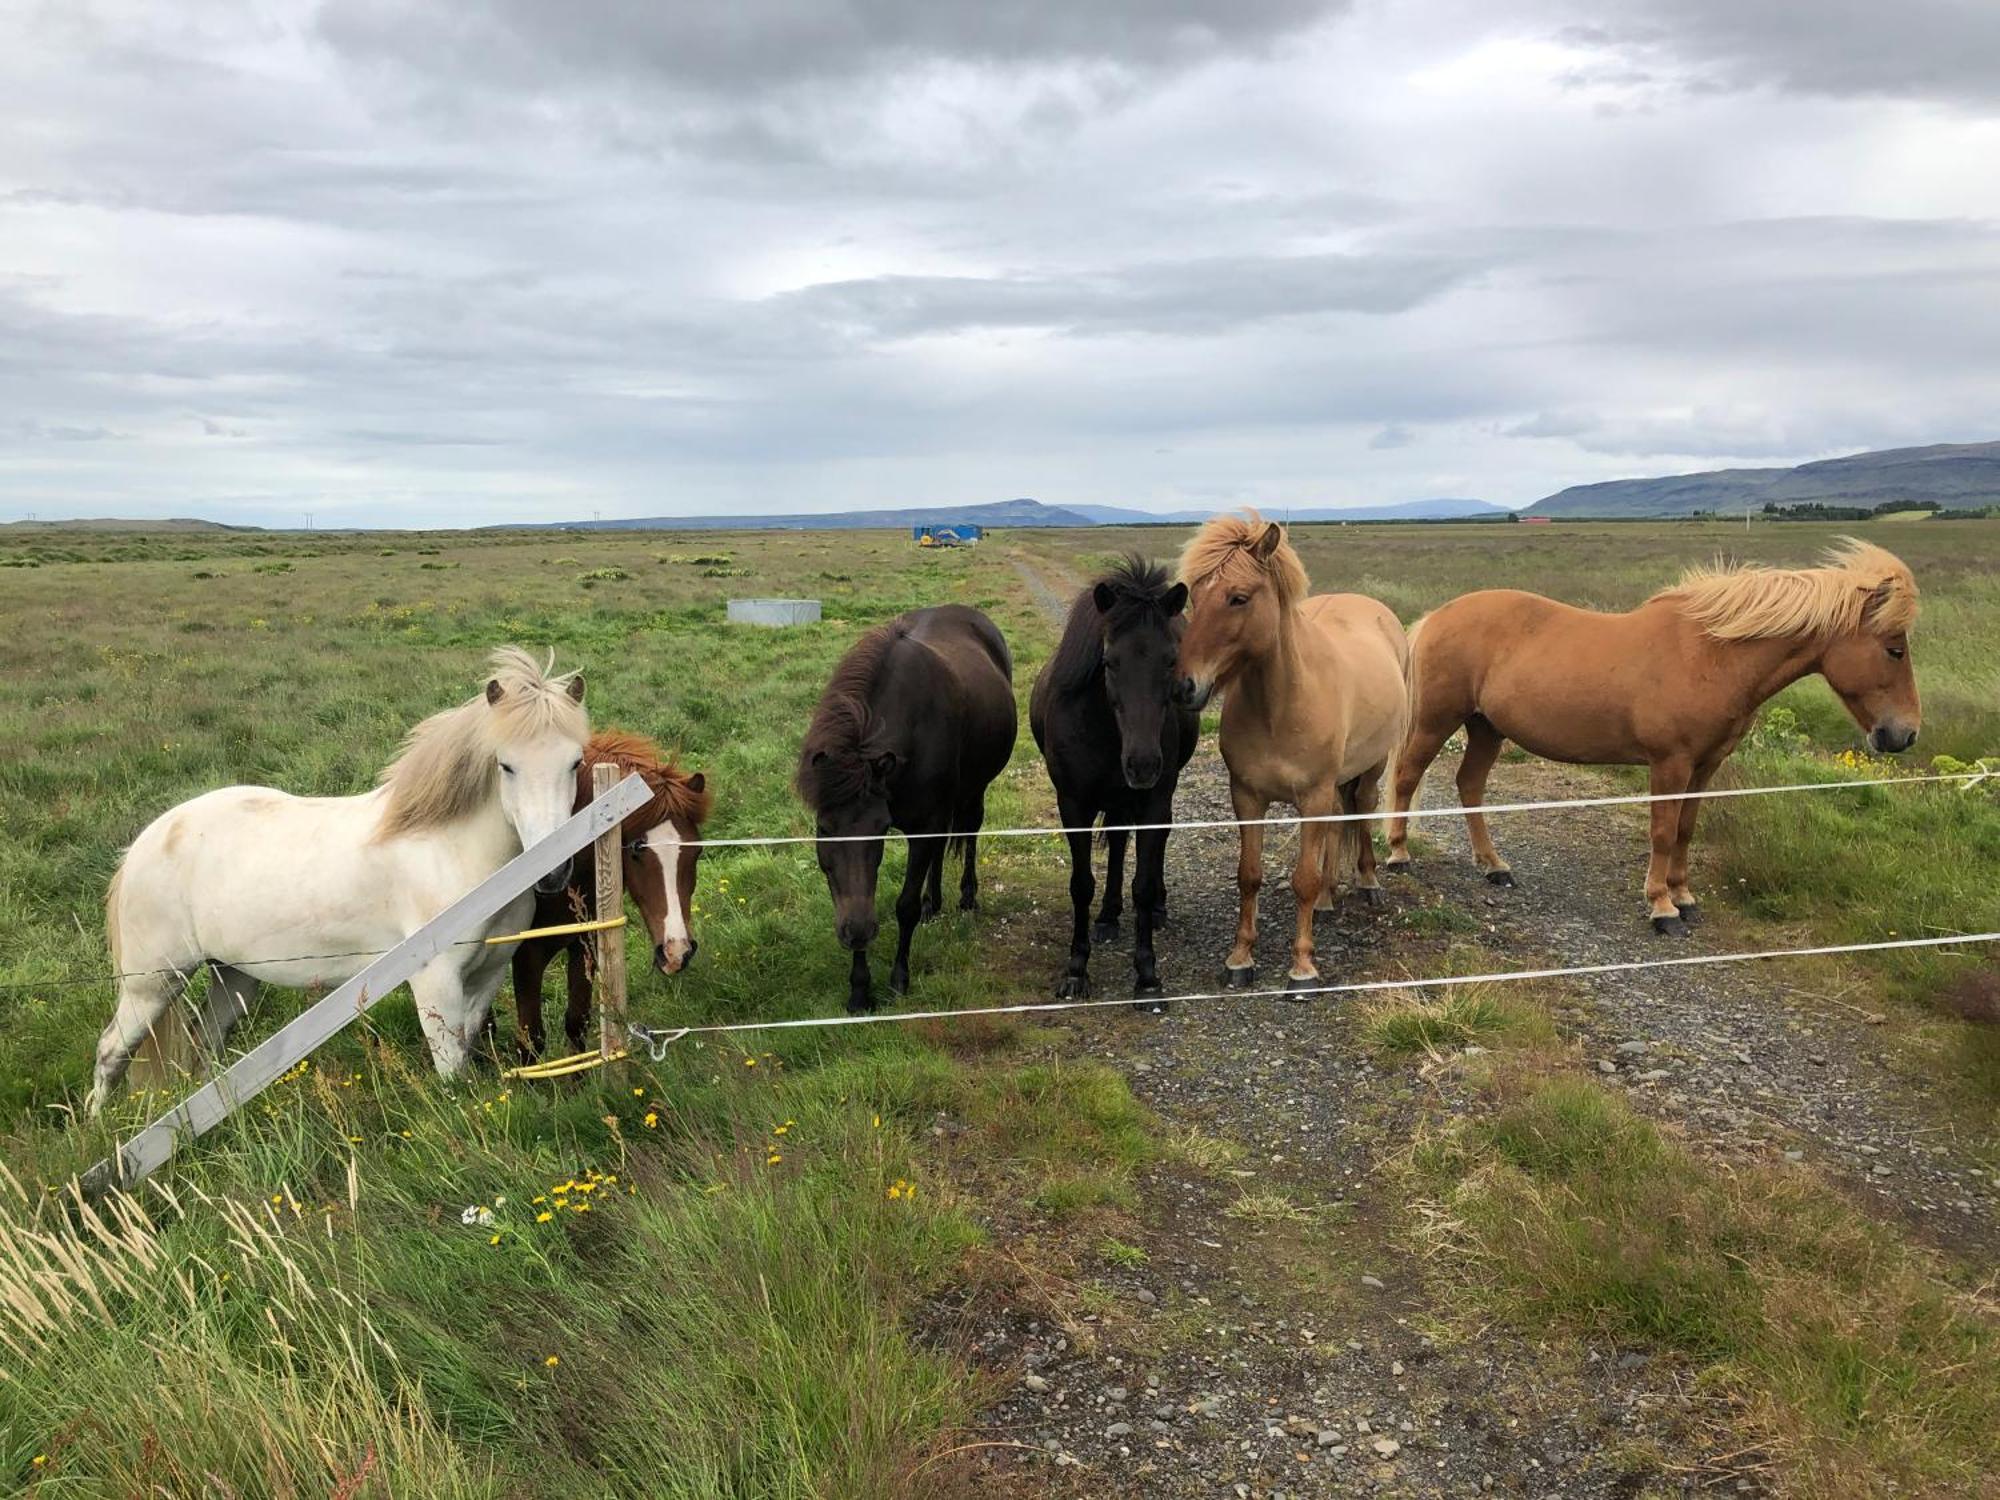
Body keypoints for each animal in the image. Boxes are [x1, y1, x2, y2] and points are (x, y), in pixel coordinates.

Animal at [91, 648, 588, 1120]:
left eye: (576, 762)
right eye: (506, 765)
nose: (553, 873)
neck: (450, 852)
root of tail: (142, 845)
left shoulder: (488, 975)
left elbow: (465, 1044)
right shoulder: (435, 980)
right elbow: (450, 1067)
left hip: (233, 977)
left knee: (204, 1044)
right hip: (152, 985)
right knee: (111, 1050)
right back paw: (97, 1128)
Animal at [512, 732, 716, 1064]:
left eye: (696, 852)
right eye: (635, 851)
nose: (676, 953)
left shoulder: (585, 943)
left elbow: (577, 1022)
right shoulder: (526, 954)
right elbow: (530, 1043)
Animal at [796, 604, 1016, 1016]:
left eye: (880, 827)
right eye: (825, 828)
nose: (856, 932)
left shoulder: (921, 825)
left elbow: (905, 905)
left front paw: (899, 979)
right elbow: (862, 893)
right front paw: (859, 992)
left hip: (973, 790)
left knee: (970, 831)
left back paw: (966, 896)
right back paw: (935, 903)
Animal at [1168, 516, 1408, 1000]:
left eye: (1238, 598)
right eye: (1194, 596)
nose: (1184, 687)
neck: (1280, 705)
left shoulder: (1311, 798)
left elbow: (1303, 879)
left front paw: (1302, 968)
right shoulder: (1246, 796)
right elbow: (1249, 874)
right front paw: (1240, 958)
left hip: (1371, 769)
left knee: (1362, 810)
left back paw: (1367, 881)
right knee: (1337, 822)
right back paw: (1329, 898)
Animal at [1392, 540, 1920, 936]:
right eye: (1894, 649)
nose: (1905, 734)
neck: (1710, 656)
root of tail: (1437, 615)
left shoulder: (1705, 765)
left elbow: (1686, 829)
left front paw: (1684, 896)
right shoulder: (1670, 763)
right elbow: (1663, 832)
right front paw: (1661, 907)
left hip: (1487, 727)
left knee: (1469, 785)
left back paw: (1494, 866)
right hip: (1436, 721)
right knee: (1407, 777)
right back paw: (1398, 853)